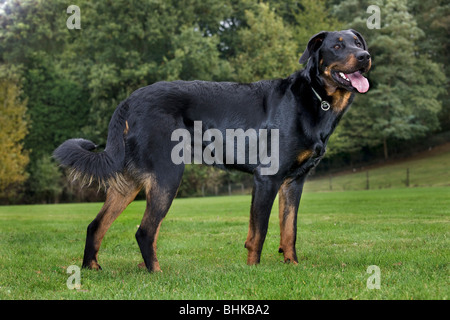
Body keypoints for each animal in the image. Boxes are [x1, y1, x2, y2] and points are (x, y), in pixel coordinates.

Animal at [53, 28, 370, 272]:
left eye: (358, 43)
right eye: (337, 46)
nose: (365, 57)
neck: (316, 99)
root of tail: (129, 100)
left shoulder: (294, 182)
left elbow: (289, 230)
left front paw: (292, 266)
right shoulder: (267, 178)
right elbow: (260, 232)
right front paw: (254, 272)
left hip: (130, 182)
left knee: (97, 226)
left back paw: (92, 268)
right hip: (168, 175)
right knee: (145, 232)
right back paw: (156, 273)